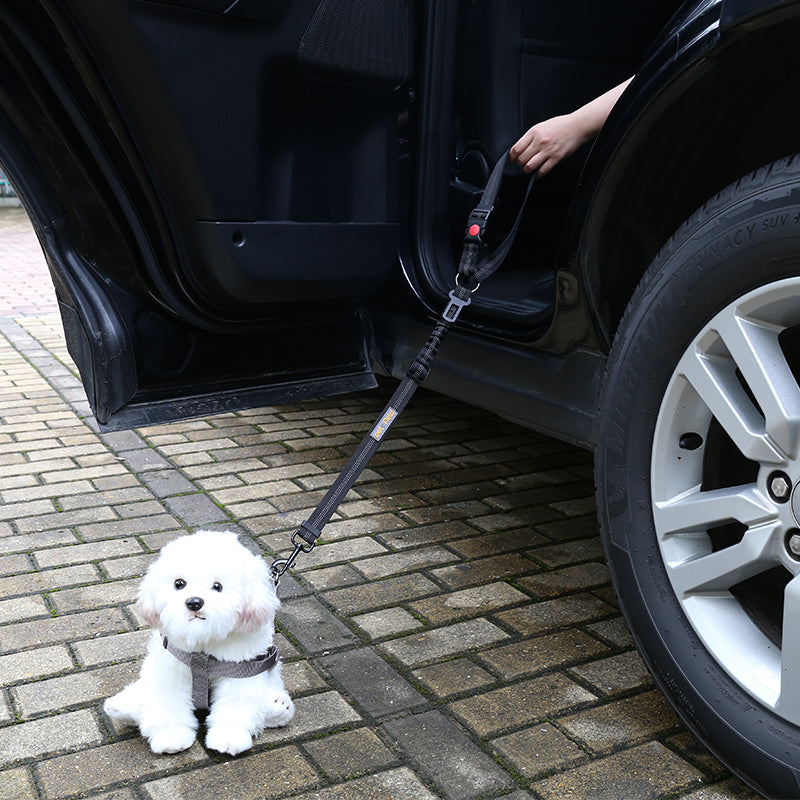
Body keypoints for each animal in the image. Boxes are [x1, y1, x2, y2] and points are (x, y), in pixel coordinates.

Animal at [103, 532, 294, 756]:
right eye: (179, 583)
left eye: (218, 587)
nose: (194, 602)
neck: (204, 643)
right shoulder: (171, 670)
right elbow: (168, 704)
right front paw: (171, 736)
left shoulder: (241, 671)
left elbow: (235, 706)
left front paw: (229, 737)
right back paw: (120, 705)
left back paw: (279, 706)